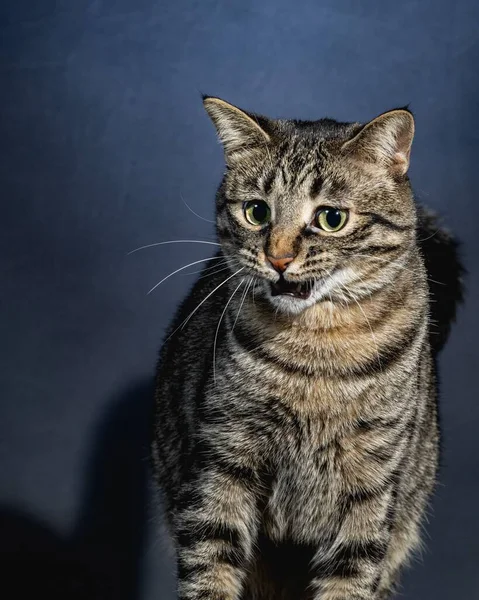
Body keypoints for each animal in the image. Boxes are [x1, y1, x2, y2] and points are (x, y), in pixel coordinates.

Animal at [151, 96, 464, 596]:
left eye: (331, 218)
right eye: (256, 212)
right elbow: (210, 569)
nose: (278, 257)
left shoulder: (369, 486)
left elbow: (349, 577)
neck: (316, 354)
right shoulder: (223, 462)